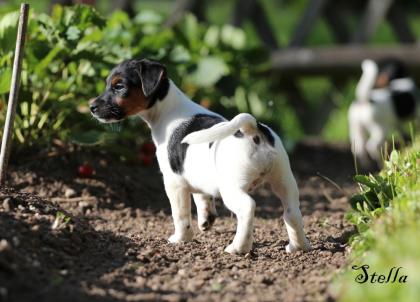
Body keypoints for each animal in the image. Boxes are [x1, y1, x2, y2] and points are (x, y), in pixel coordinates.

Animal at [89, 57, 312, 254]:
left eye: (119, 86)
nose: (91, 107)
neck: (167, 110)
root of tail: (251, 128)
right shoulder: (195, 176)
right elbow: (202, 197)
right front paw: (206, 219)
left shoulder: (174, 183)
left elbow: (180, 215)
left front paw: (181, 239)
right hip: (284, 181)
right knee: (292, 213)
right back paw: (298, 246)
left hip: (232, 188)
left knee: (248, 207)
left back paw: (238, 248)